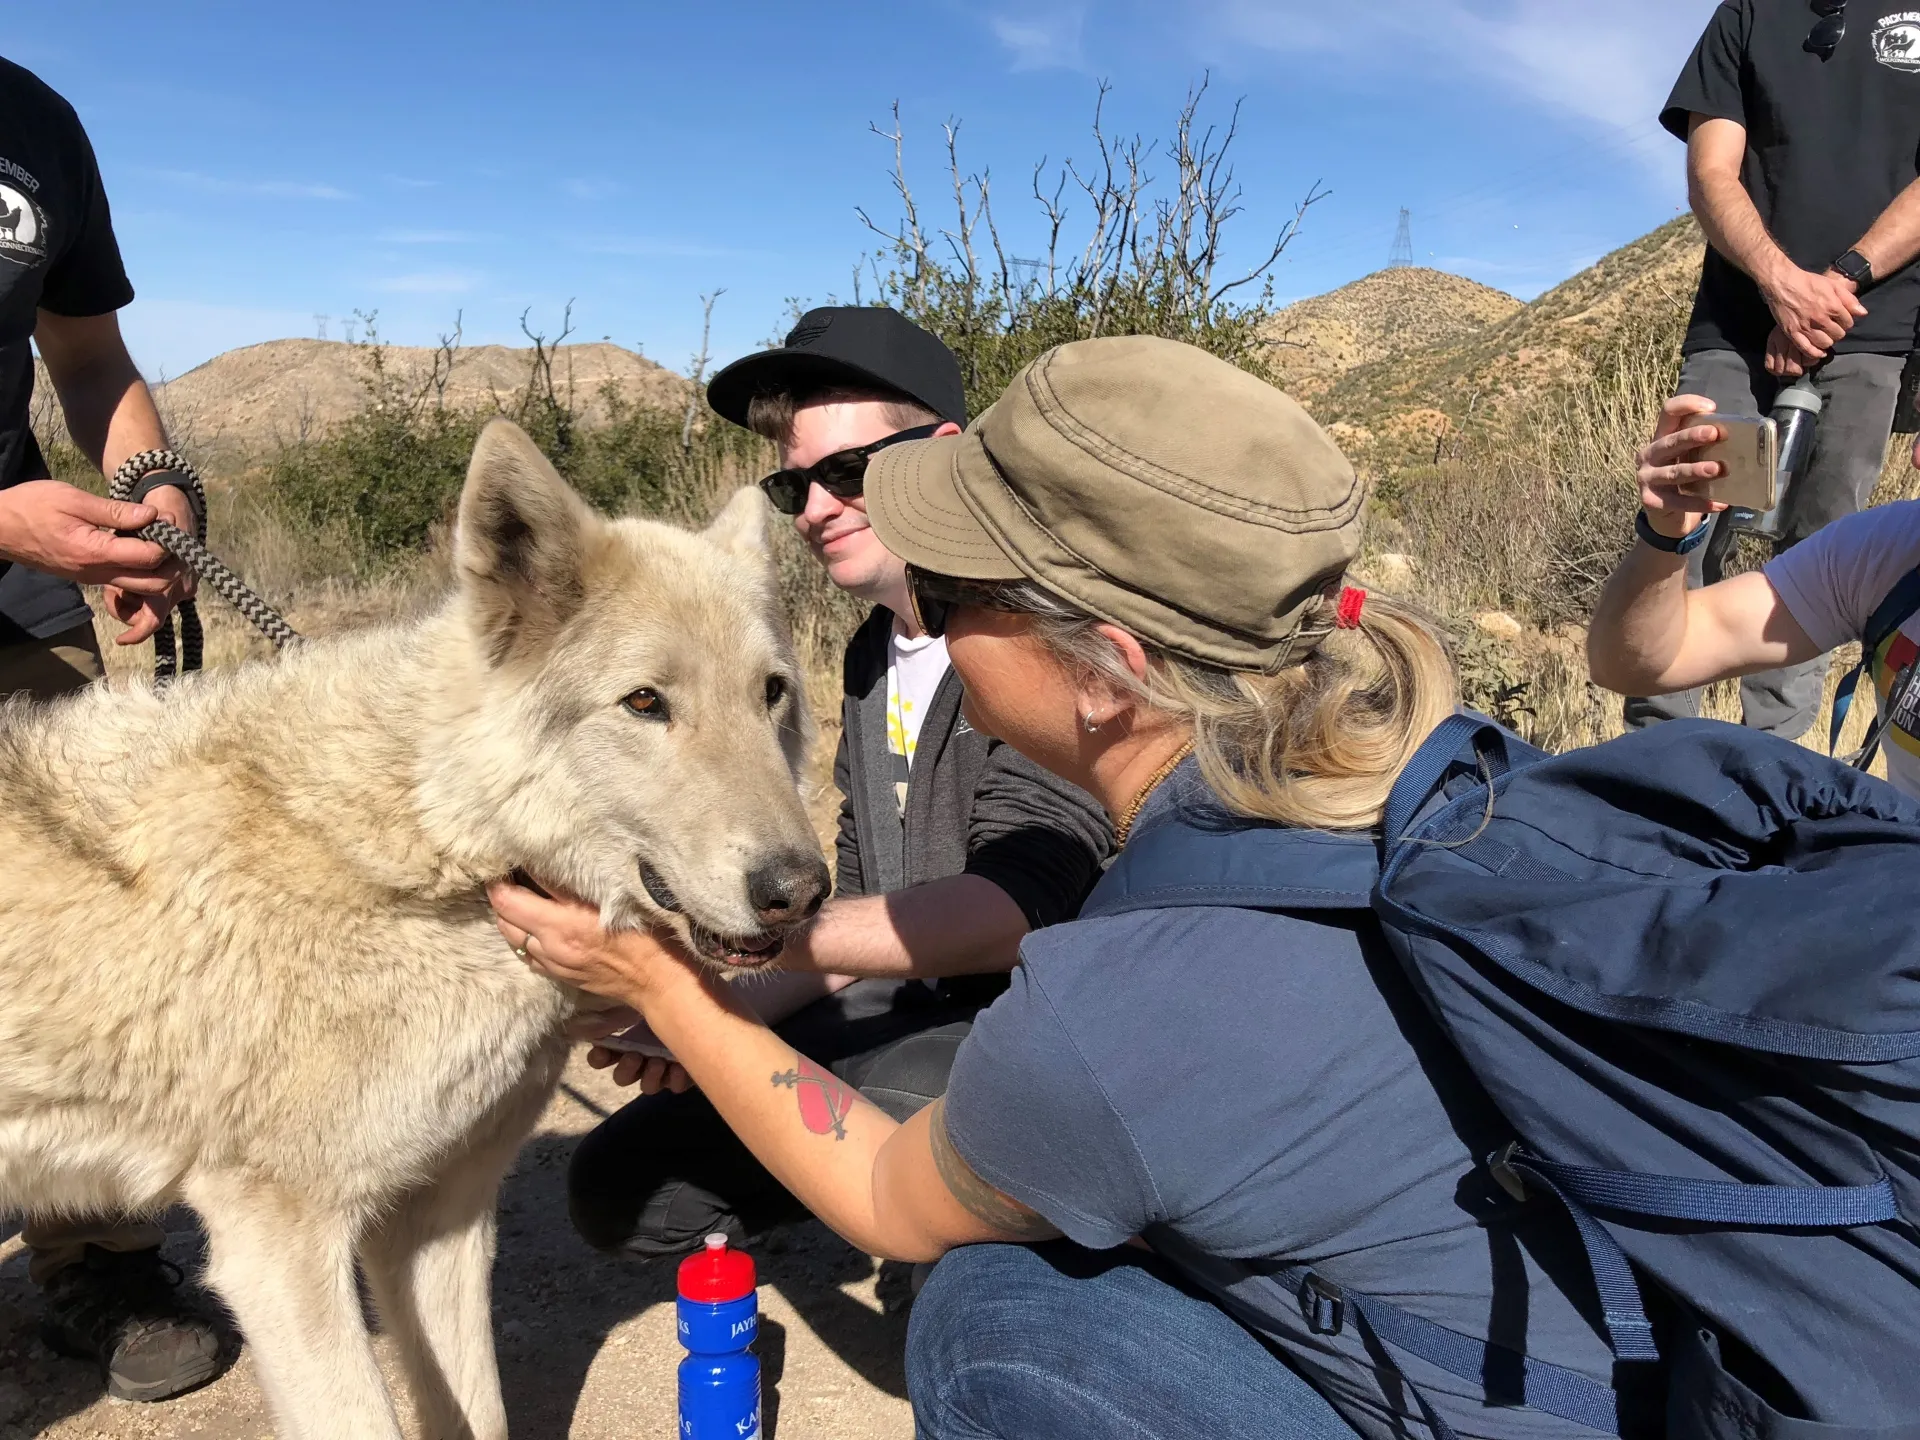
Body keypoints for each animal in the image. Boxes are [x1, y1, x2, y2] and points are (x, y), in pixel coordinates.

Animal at [0, 419, 829, 1439]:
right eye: (645, 703)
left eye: (772, 693)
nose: (802, 891)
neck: (440, 852)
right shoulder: (280, 1249)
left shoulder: (435, 1222)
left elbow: (476, 1409)